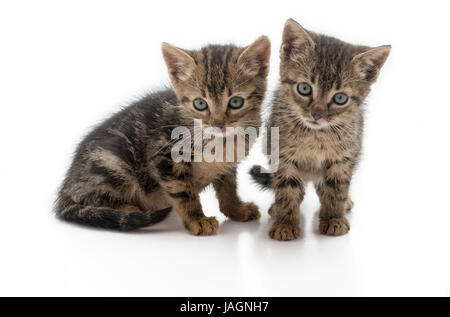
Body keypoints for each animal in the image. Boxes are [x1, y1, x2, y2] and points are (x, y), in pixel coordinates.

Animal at [54, 37, 268, 235]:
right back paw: (130, 210)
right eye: (200, 104)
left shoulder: (227, 165)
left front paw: (237, 209)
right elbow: (183, 192)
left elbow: (228, 187)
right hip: (111, 162)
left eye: (236, 102)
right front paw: (197, 219)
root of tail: (67, 186)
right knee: (92, 198)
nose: (218, 124)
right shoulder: (165, 155)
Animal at [250, 19, 390, 239]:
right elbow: (287, 190)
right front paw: (285, 223)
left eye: (340, 98)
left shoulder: (343, 159)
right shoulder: (283, 156)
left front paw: (333, 218)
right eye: (304, 88)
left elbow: (335, 190)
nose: (317, 114)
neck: (316, 136)